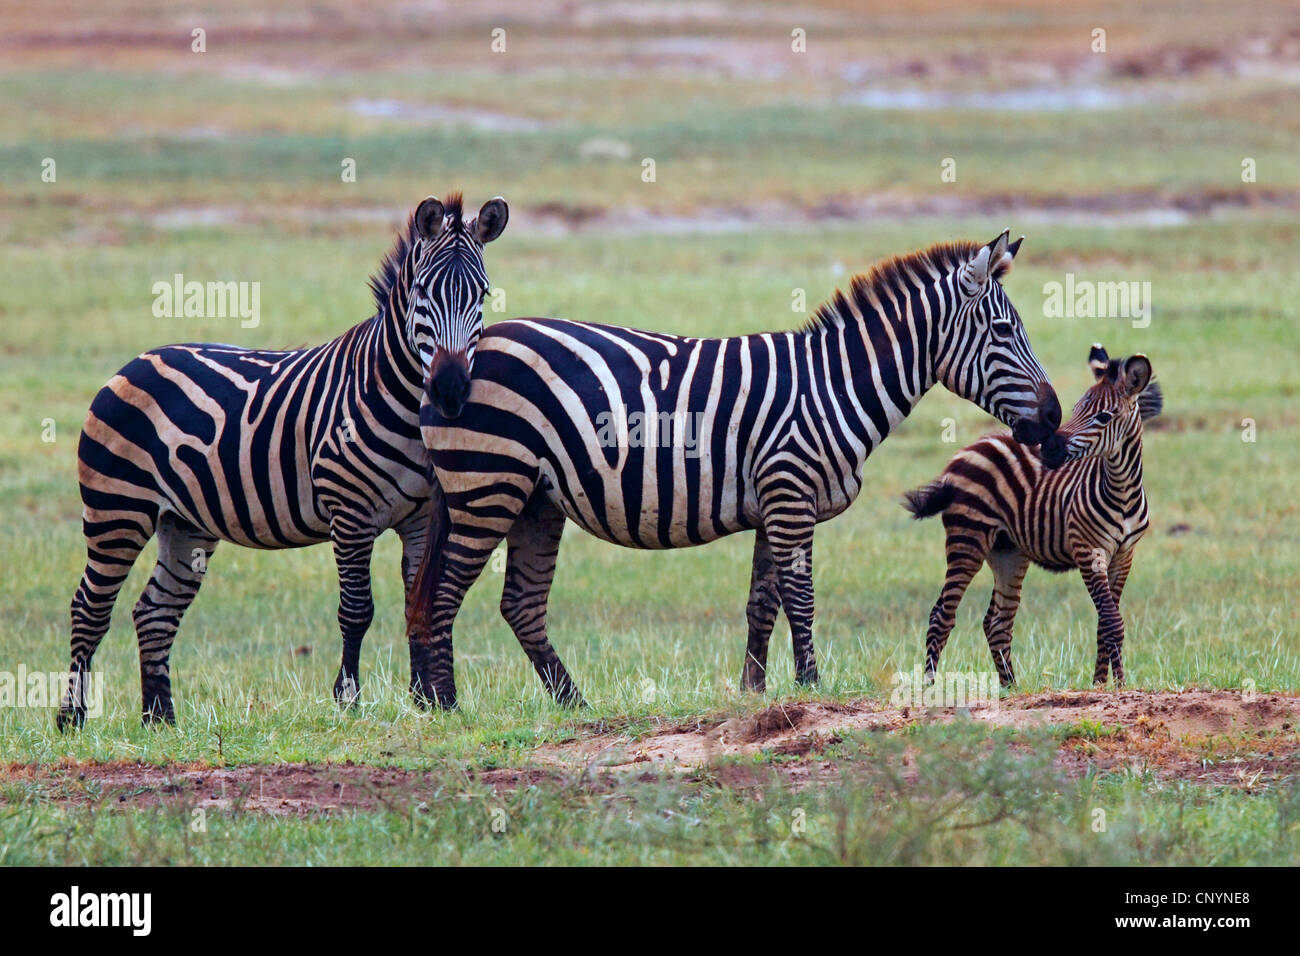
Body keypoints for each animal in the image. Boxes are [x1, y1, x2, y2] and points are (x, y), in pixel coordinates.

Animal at [58, 193, 508, 729]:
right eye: (422, 292)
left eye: (482, 295)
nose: (450, 390)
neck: (390, 393)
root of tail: (135, 362)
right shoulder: (349, 515)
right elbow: (357, 609)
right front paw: (348, 700)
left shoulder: (418, 520)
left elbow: (417, 600)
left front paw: (427, 700)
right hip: (116, 510)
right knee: (89, 608)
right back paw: (72, 720)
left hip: (184, 522)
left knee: (153, 612)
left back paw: (159, 720)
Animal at [404, 230, 1067, 709]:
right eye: (1004, 330)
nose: (1055, 417)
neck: (832, 386)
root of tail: (455, 361)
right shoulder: (791, 492)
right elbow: (801, 598)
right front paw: (810, 686)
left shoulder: (773, 504)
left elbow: (761, 604)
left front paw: (755, 692)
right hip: (488, 485)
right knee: (444, 591)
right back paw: (448, 705)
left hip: (535, 500)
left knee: (518, 604)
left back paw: (573, 705)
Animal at [903, 345, 1161, 688]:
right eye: (1077, 409)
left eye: (1103, 417)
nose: (1049, 447)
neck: (1122, 492)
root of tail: (970, 447)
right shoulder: (1088, 551)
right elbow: (1111, 622)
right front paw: (1119, 686)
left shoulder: (1124, 555)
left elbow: (1104, 625)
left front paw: (1102, 684)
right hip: (967, 539)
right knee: (942, 614)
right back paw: (930, 687)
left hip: (1008, 551)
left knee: (997, 622)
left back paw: (1010, 688)